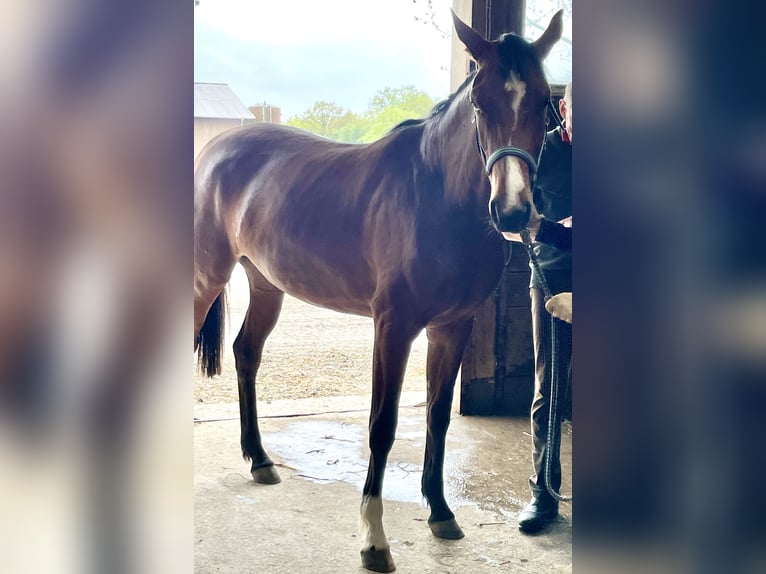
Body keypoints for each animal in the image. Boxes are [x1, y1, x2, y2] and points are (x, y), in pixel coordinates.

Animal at [194, 10, 564, 574]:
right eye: (480, 102)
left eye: (545, 102)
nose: (514, 211)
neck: (435, 197)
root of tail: (214, 148)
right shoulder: (393, 327)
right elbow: (382, 425)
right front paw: (374, 540)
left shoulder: (452, 327)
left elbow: (437, 416)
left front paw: (441, 512)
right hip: (205, 275)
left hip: (266, 284)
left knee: (245, 353)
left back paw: (259, 460)